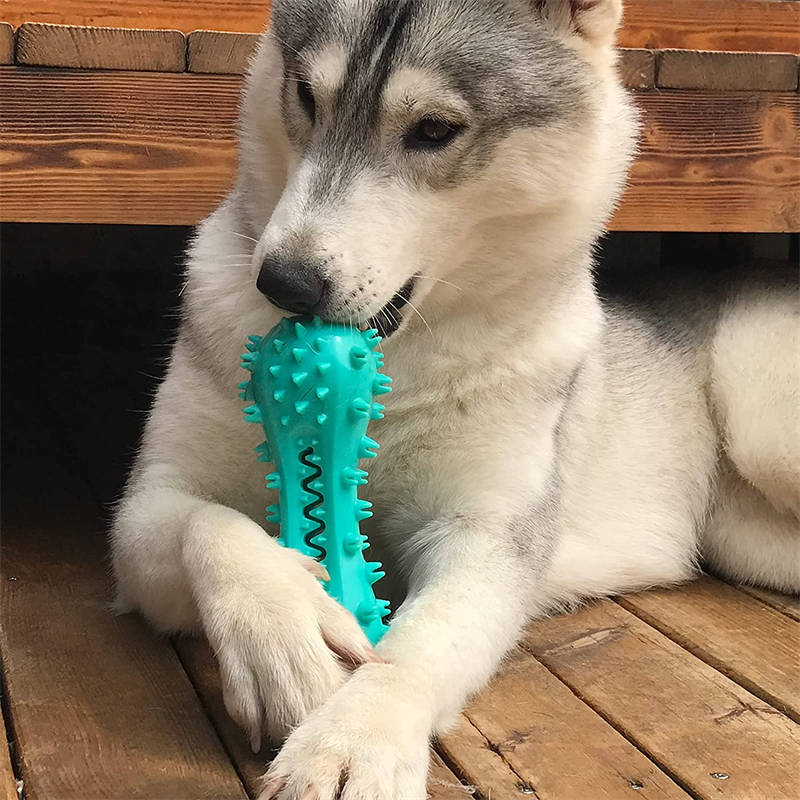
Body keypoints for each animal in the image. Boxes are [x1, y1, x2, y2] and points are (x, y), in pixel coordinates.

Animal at [111, 0, 792, 796]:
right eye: (307, 95)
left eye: (433, 130)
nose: (282, 283)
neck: (396, 370)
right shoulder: (146, 508)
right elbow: (209, 526)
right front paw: (281, 630)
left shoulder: (486, 536)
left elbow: (418, 645)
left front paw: (352, 740)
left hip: (760, 424)